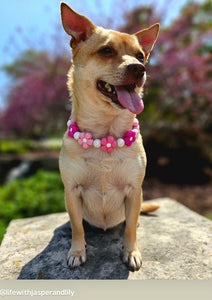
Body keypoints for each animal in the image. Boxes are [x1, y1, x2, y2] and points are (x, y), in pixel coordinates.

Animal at [58, 1, 159, 272]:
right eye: (106, 51)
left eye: (140, 55)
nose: (139, 68)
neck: (106, 134)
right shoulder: (72, 191)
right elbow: (77, 227)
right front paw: (77, 251)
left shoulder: (134, 191)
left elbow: (131, 228)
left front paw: (131, 251)